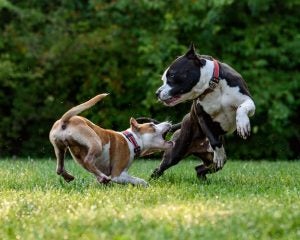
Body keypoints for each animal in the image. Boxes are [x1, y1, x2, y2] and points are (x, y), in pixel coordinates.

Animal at [151, 43, 254, 178]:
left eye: (172, 75)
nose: (157, 93)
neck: (213, 86)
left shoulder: (247, 100)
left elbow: (242, 108)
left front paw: (242, 124)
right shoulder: (202, 117)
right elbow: (214, 140)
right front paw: (219, 154)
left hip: (209, 160)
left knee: (200, 168)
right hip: (175, 152)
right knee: (160, 168)